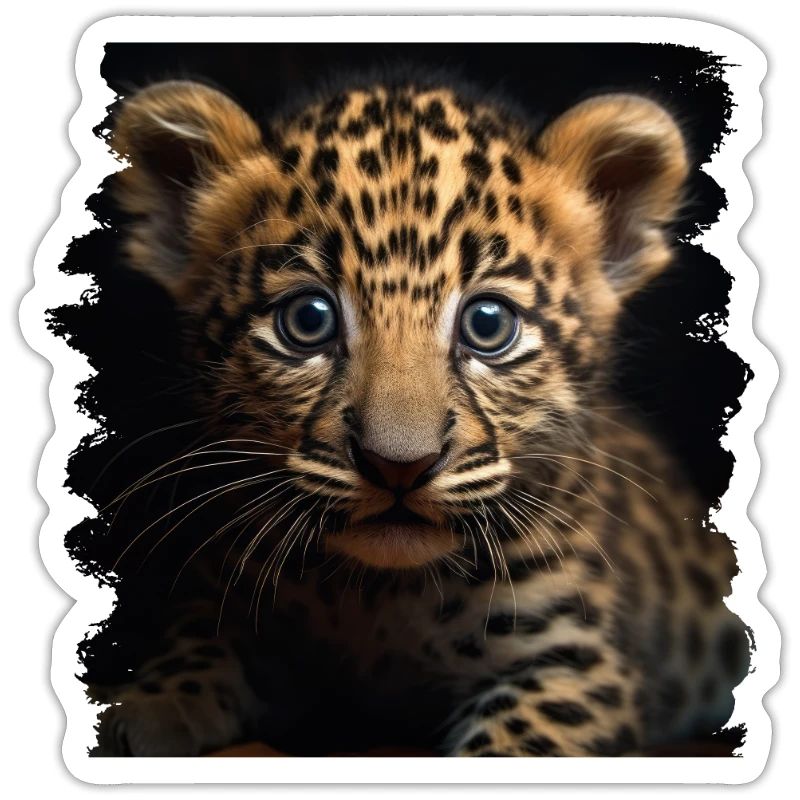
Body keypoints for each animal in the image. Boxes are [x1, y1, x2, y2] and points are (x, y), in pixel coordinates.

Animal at [89, 72, 750, 757]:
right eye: (308, 320)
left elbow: (513, 746)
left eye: (488, 325)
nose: (399, 468)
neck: (378, 597)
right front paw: (152, 708)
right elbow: (196, 645)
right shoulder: (230, 598)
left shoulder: (578, 661)